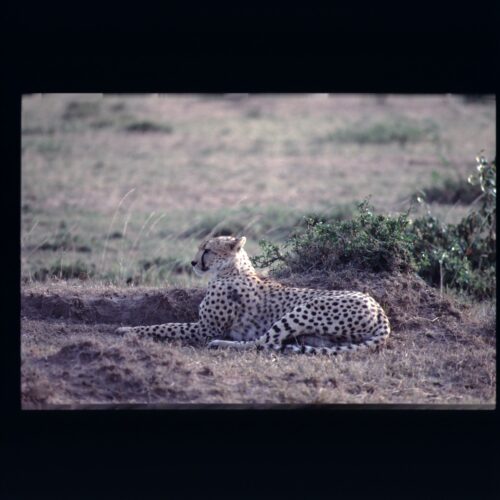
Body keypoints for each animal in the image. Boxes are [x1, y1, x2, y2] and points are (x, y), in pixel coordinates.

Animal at [116, 235, 390, 356]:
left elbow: (167, 326)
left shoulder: (206, 329)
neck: (233, 269)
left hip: (305, 309)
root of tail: (379, 309)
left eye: (207, 250)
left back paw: (222, 344)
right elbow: (168, 324)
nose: (193, 263)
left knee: (265, 342)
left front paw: (127, 330)